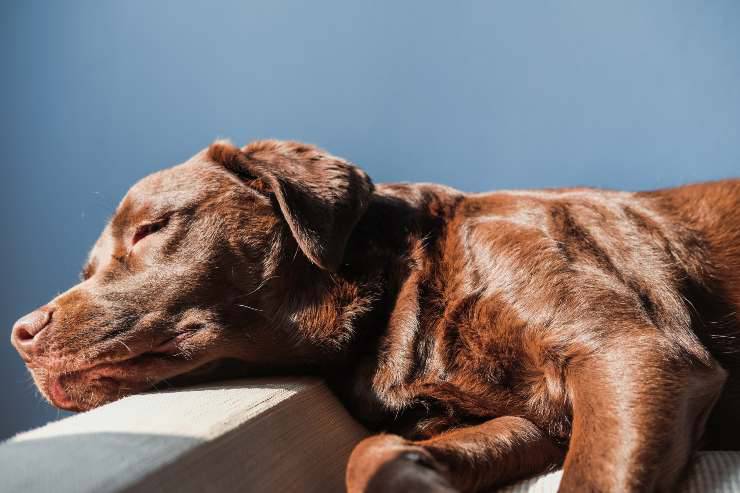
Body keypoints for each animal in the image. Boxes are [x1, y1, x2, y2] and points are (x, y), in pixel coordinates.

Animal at [11, 139, 740, 492]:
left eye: (152, 228)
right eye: (86, 269)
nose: (20, 333)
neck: (400, 289)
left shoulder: (632, 355)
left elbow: (593, 477)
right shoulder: (539, 421)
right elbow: (371, 454)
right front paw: (414, 472)